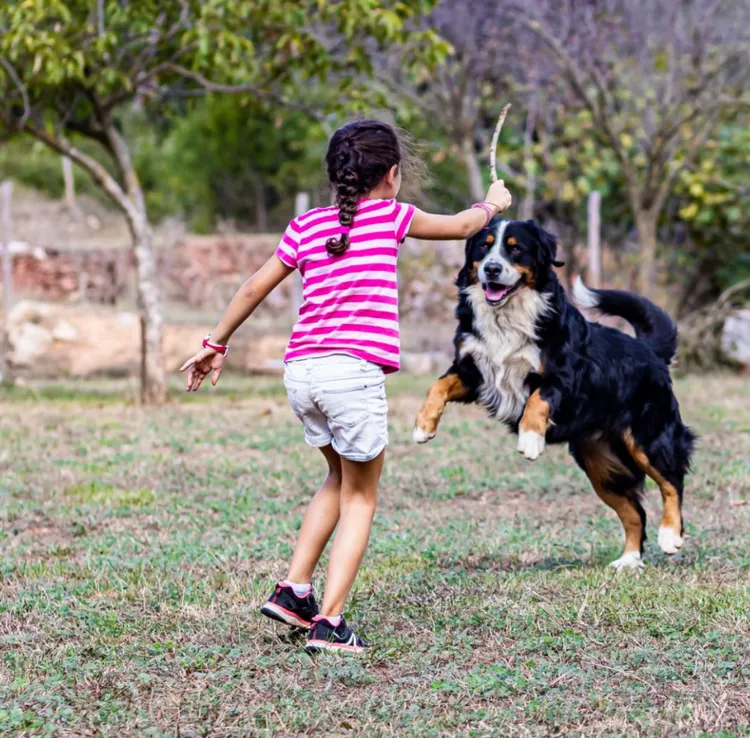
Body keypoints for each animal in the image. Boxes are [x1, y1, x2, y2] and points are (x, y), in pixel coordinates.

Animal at [414, 214, 696, 568]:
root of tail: (650, 351)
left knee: (672, 482)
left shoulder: (564, 377)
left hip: (649, 437)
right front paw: (423, 426)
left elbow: (538, 399)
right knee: (635, 513)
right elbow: (437, 386)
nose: (491, 269)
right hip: (600, 466)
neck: (507, 315)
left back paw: (670, 535)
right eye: (483, 246)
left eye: (515, 249)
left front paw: (531, 440)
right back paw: (629, 560)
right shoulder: (473, 371)